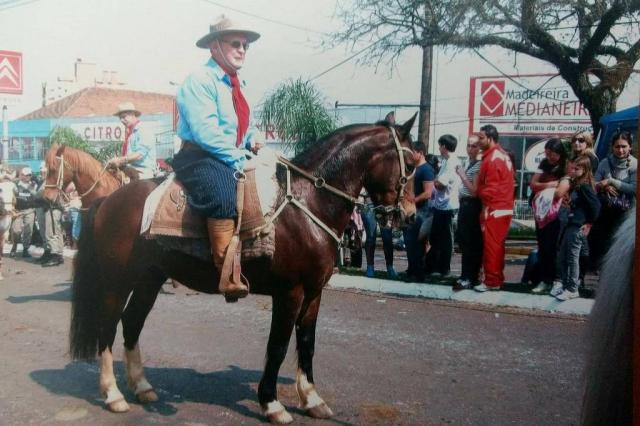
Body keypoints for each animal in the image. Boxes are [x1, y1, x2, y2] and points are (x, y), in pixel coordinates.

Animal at [48, 115, 420, 422]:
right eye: (413, 164)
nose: (410, 215)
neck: (305, 204)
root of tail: (107, 201)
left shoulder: (314, 293)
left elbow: (307, 343)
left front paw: (312, 400)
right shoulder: (290, 293)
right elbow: (278, 346)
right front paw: (272, 403)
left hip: (149, 280)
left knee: (132, 323)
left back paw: (142, 387)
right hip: (116, 281)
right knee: (108, 327)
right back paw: (113, 394)